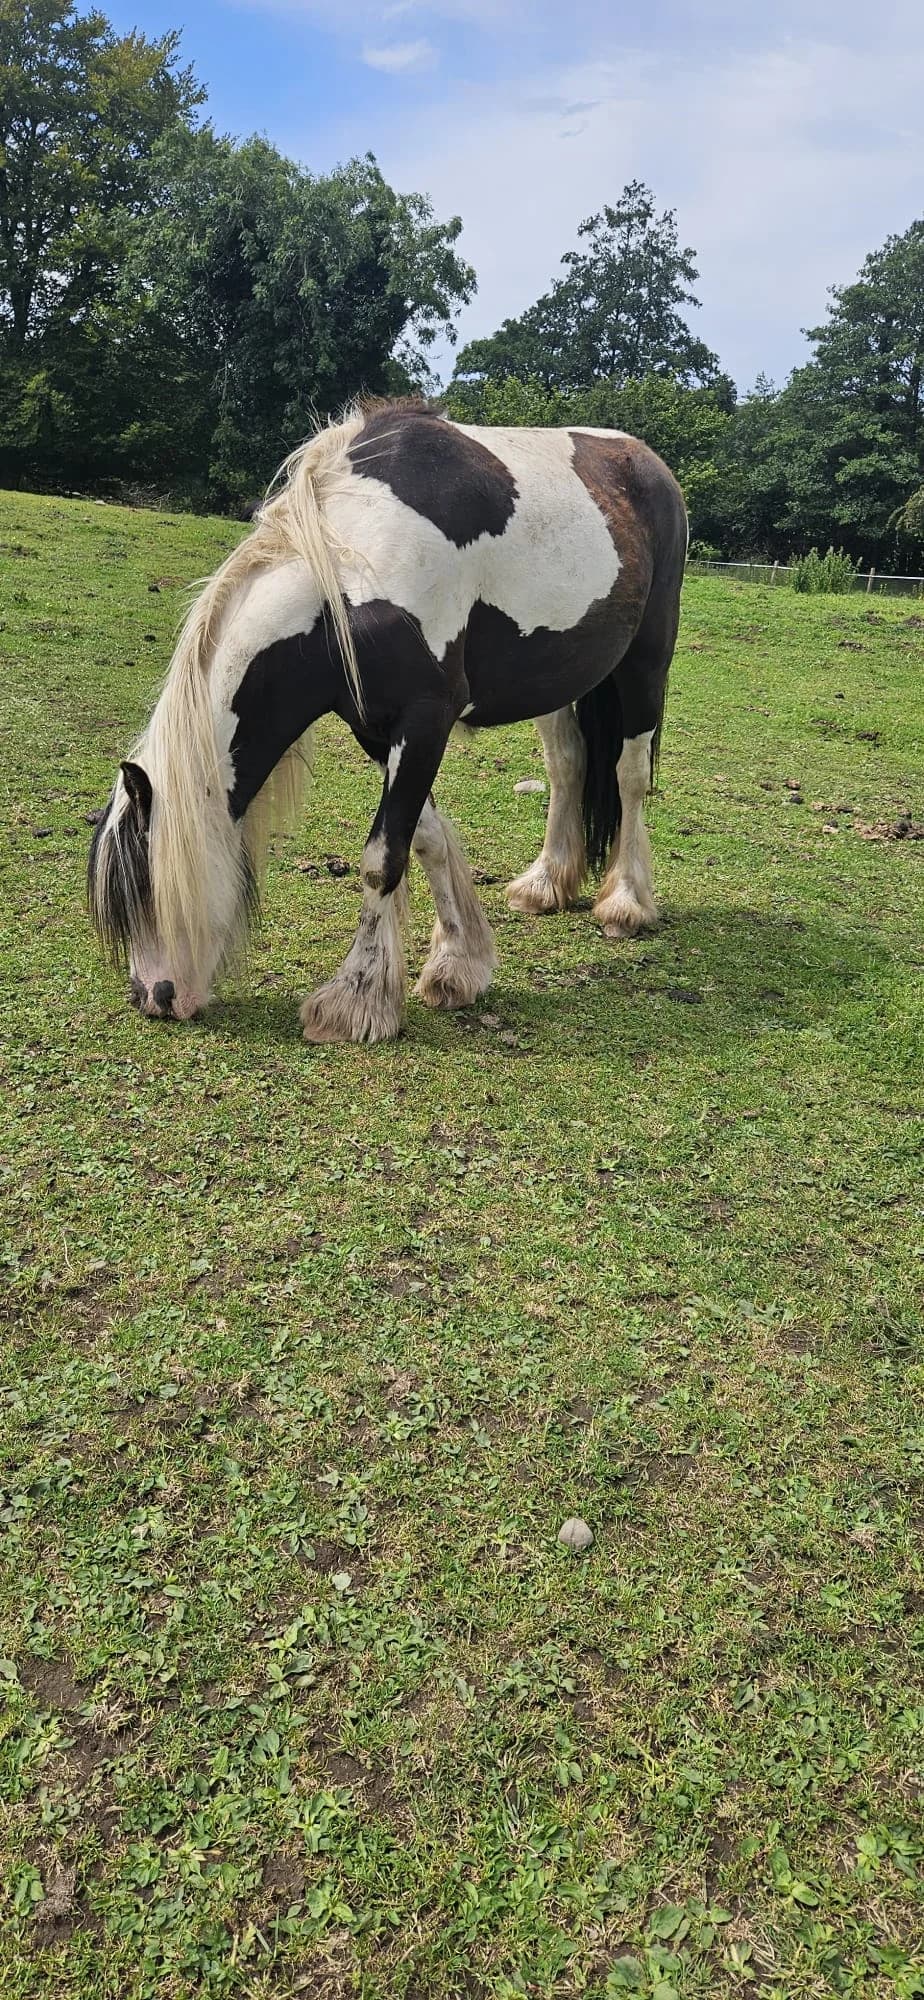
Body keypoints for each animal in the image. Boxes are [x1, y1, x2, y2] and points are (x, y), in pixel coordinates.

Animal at [88, 402, 687, 1043]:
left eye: (146, 885)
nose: (153, 996)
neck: (349, 575)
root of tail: (646, 461)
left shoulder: (425, 721)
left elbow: (383, 859)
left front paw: (356, 1000)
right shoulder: (376, 729)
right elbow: (427, 838)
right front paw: (459, 963)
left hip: (646, 663)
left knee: (629, 775)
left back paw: (625, 901)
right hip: (556, 681)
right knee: (568, 767)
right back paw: (546, 884)